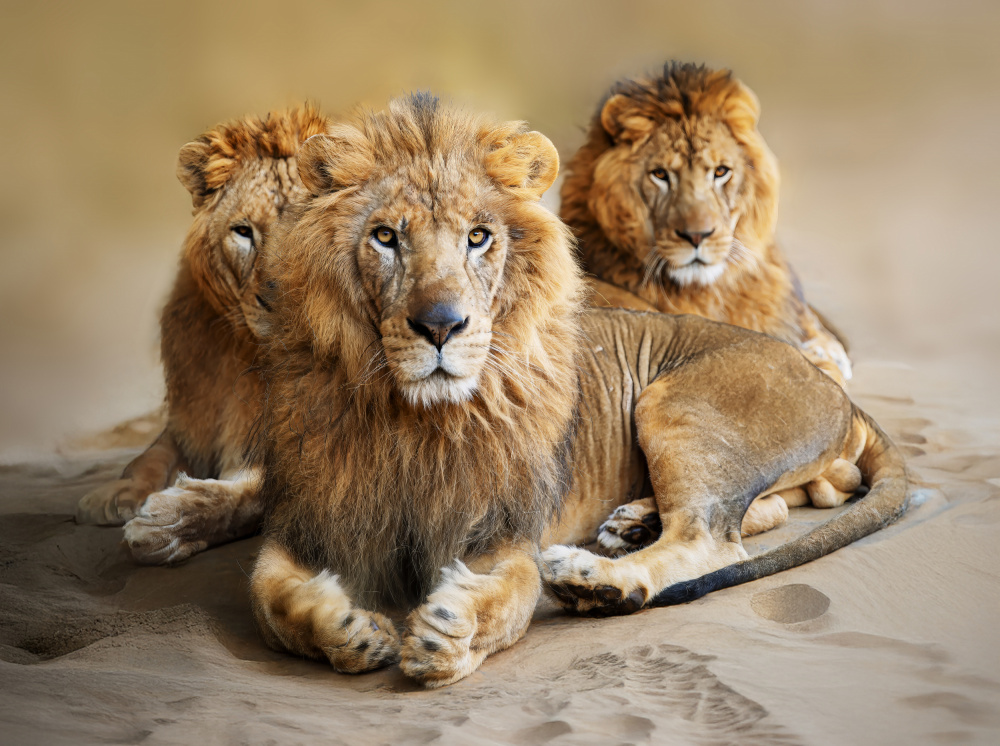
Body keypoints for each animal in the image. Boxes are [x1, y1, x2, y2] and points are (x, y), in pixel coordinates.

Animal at [75, 105, 329, 565]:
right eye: (243, 231)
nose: (279, 298)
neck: (248, 355)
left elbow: (249, 496)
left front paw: (168, 524)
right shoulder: (190, 419)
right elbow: (150, 457)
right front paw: (116, 493)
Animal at [242, 95, 906, 689]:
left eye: (478, 238)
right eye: (385, 237)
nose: (440, 326)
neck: (413, 421)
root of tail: (834, 386)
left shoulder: (505, 533)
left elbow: (509, 599)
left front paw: (447, 636)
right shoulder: (303, 521)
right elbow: (266, 598)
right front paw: (348, 630)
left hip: (671, 403)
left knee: (713, 540)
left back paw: (595, 579)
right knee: (770, 508)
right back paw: (631, 525)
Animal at [561, 62, 852, 388]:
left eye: (721, 172)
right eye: (660, 174)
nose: (697, 236)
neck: (714, 289)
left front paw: (824, 348)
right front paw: (820, 361)